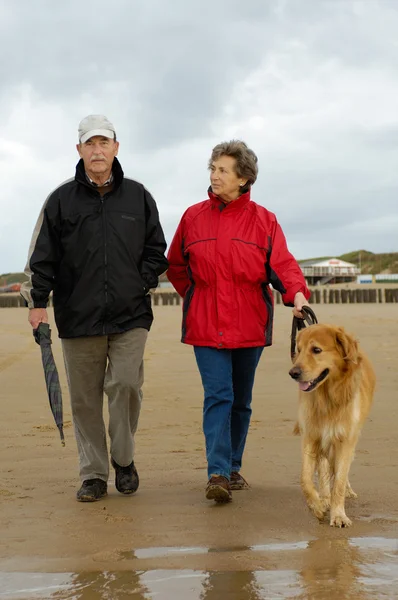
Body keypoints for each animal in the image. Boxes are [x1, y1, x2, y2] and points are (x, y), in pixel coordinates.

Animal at [290, 326, 376, 528]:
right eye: (299, 349)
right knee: (323, 469)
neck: (327, 397)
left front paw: (339, 515)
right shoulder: (311, 436)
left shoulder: (345, 439)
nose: (293, 373)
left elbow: (340, 481)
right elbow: (305, 479)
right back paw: (324, 498)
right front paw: (317, 506)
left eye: (316, 350)